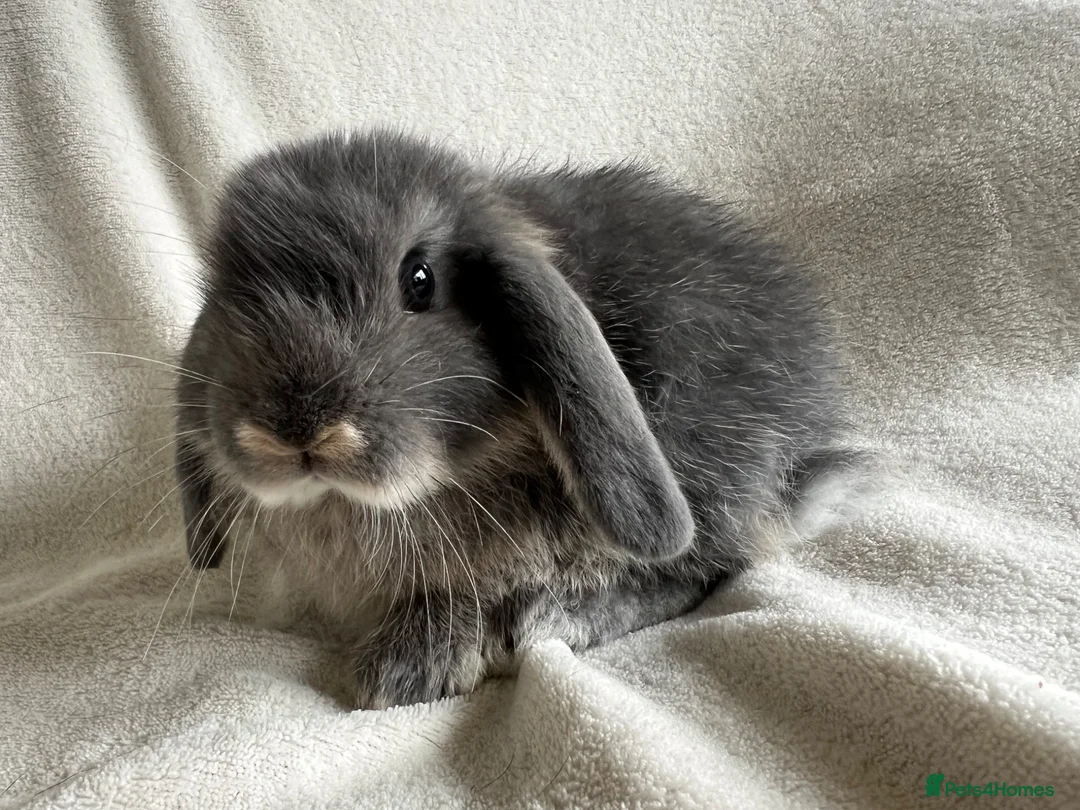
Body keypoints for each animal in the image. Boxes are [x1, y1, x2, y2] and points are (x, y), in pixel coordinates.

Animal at [174, 129, 861, 709]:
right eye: (227, 294)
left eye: (419, 280)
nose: (294, 432)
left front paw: (406, 671)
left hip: (705, 468)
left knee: (707, 568)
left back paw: (561, 616)